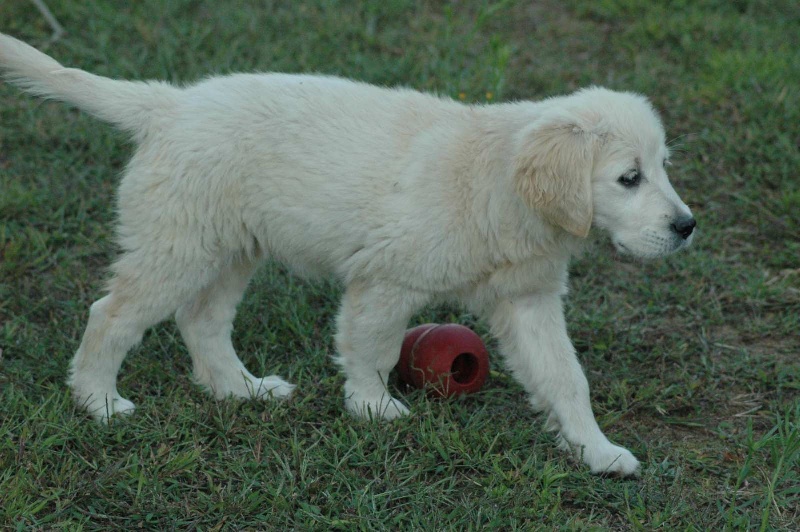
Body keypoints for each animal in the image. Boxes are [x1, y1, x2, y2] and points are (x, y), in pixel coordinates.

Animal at [0, 31, 692, 476]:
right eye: (629, 178)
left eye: (663, 168)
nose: (686, 226)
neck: (500, 183)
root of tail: (169, 104)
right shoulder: (387, 279)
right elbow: (373, 346)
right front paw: (372, 406)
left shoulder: (529, 298)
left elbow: (566, 379)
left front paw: (596, 451)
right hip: (179, 246)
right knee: (111, 315)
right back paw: (98, 401)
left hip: (230, 247)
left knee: (203, 321)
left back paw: (241, 390)